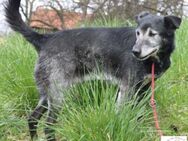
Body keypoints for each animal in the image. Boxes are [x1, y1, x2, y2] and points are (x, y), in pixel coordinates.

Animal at [5, 0, 181, 140]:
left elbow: (137, 115)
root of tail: (44, 38)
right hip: (57, 95)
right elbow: (122, 114)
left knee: (32, 119)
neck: (154, 59)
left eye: (152, 34)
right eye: (138, 33)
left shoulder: (143, 89)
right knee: (48, 126)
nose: (135, 52)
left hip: (47, 94)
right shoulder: (126, 89)